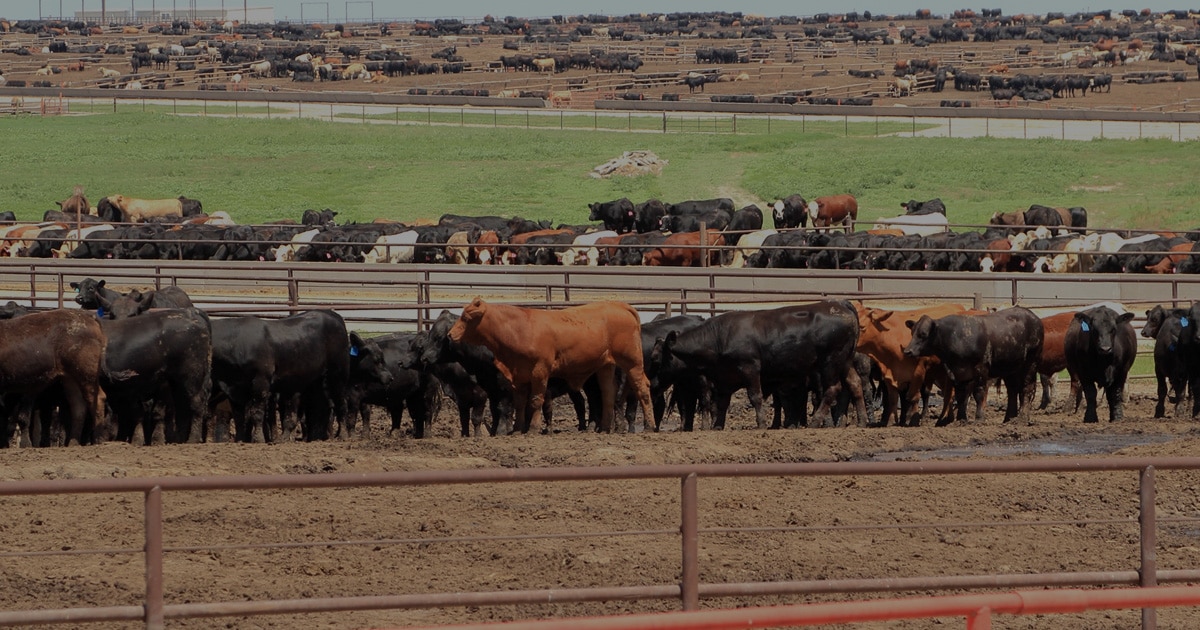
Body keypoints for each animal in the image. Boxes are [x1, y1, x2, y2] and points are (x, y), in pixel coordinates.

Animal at [0, 307, 108, 444]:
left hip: (86, 374)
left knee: (97, 399)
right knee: (78, 406)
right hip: (70, 379)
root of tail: (88, 316)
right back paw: (73, 443)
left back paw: (98, 439)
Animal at [210, 309, 350, 441]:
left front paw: (258, 439)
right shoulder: (234, 388)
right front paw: (240, 439)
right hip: (315, 380)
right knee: (319, 408)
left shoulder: (261, 381)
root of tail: (332, 314)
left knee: (341, 403)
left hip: (337, 373)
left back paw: (342, 435)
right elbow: (240, 417)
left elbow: (256, 412)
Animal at [451, 298, 657, 432]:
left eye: (466, 317)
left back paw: (649, 426)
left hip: (632, 361)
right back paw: (606, 428)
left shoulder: (540, 371)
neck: (521, 328)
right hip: (605, 365)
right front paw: (517, 429)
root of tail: (618, 305)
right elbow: (520, 402)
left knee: (642, 387)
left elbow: (536, 400)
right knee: (608, 393)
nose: (450, 334)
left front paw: (533, 428)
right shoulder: (519, 375)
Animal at [648, 300, 864, 427]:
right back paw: (861, 422)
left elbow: (755, 397)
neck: (719, 337)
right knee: (855, 384)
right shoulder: (725, 378)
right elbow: (722, 403)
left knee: (833, 389)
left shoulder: (750, 368)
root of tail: (840, 305)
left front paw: (761, 423)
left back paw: (816, 421)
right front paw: (717, 426)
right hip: (845, 362)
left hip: (831, 362)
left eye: (656, 359)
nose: (652, 385)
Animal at [902, 307, 1046, 424]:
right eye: (912, 332)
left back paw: (1021, 418)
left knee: (1027, 388)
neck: (956, 337)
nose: (907, 351)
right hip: (1010, 368)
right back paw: (1008, 419)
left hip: (1030, 364)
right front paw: (961, 419)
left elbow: (978, 393)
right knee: (1012, 390)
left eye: (923, 334)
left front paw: (979, 418)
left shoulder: (981, 368)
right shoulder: (957, 372)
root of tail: (1034, 317)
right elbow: (961, 395)